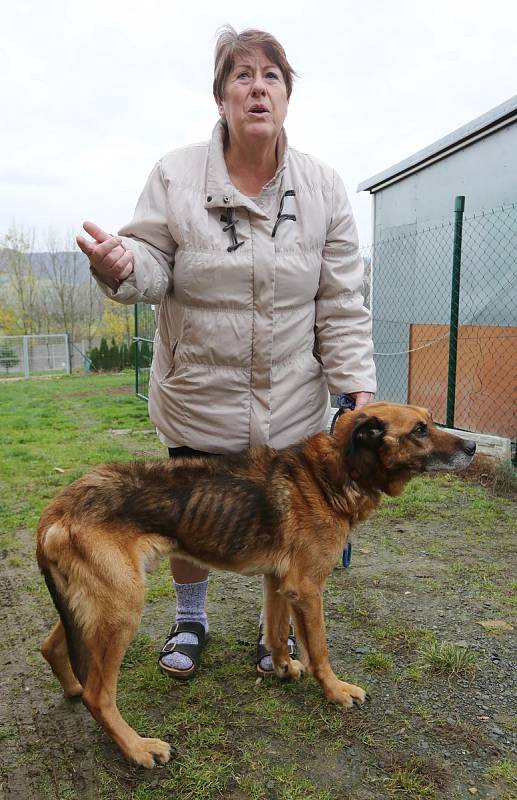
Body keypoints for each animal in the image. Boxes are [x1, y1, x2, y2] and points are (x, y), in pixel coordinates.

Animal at [37, 404, 476, 764]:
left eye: (431, 420)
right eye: (420, 429)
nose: (472, 446)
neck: (333, 471)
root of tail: (56, 511)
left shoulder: (279, 582)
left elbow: (279, 632)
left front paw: (281, 667)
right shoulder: (308, 587)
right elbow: (319, 650)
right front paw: (335, 692)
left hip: (94, 605)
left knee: (51, 647)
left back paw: (72, 689)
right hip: (122, 608)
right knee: (99, 695)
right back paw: (137, 747)